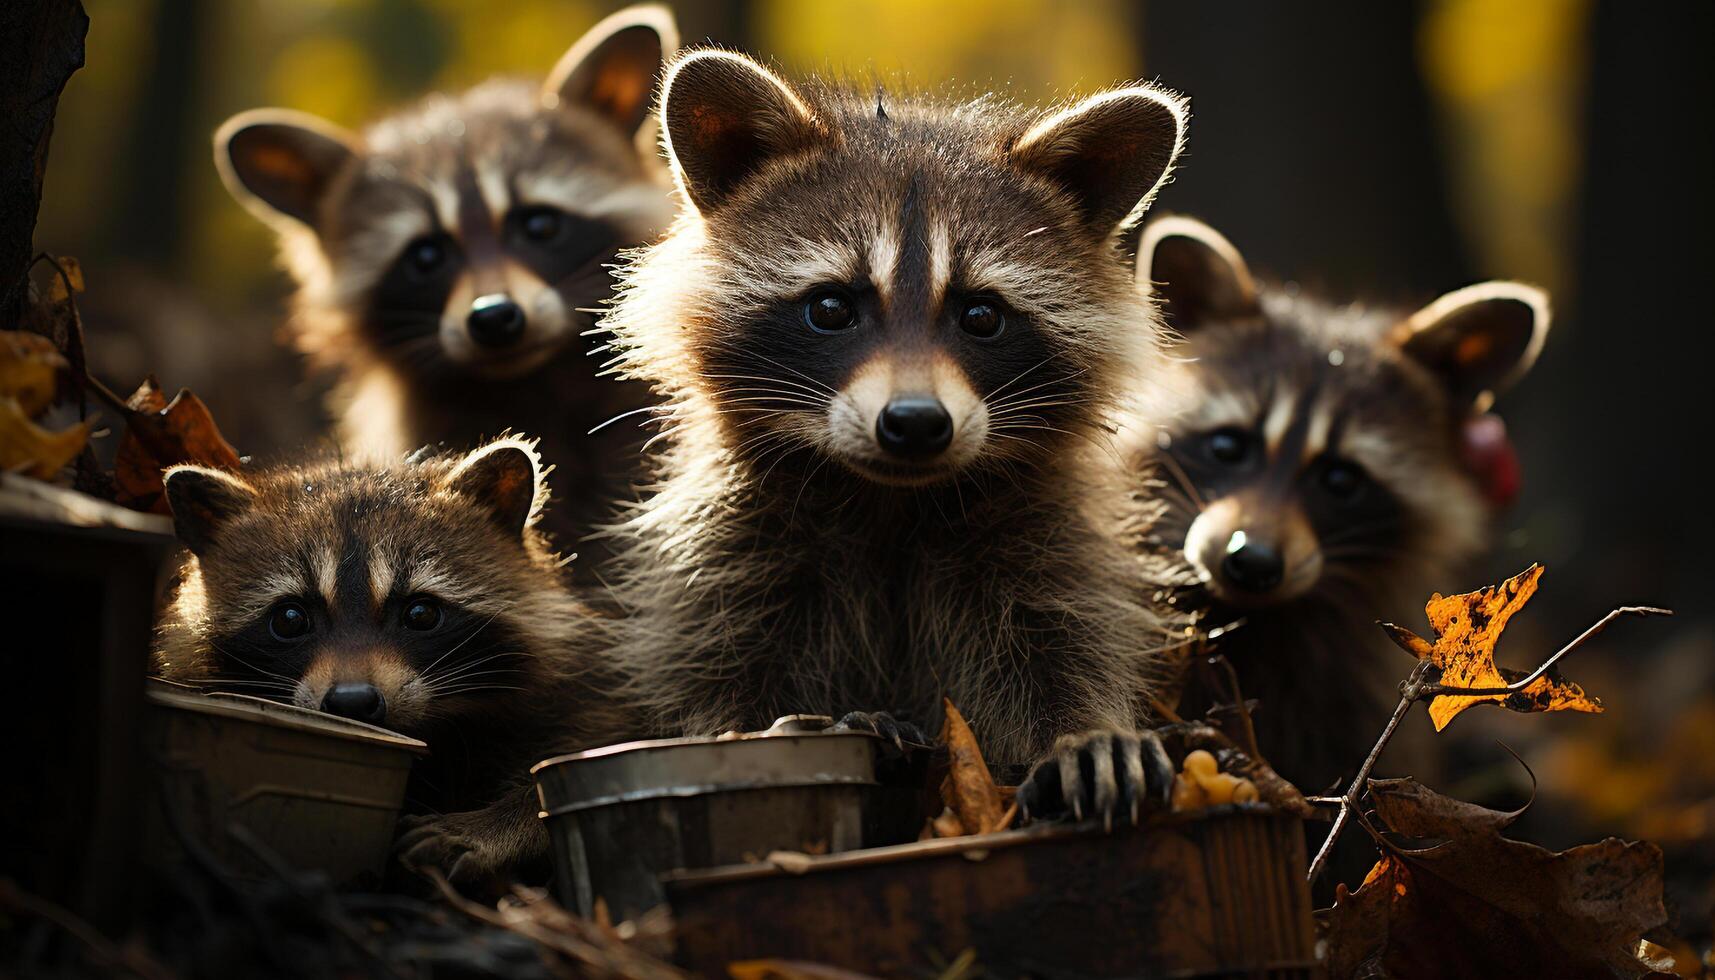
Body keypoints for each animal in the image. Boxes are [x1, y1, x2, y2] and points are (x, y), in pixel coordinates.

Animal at [600, 51, 1193, 820]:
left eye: (981, 315)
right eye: (830, 307)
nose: (914, 423)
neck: (891, 498)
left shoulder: (1041, 536)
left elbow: (1063, 639)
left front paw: (1084, 730)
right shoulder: (730, 546)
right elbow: (709, 674)